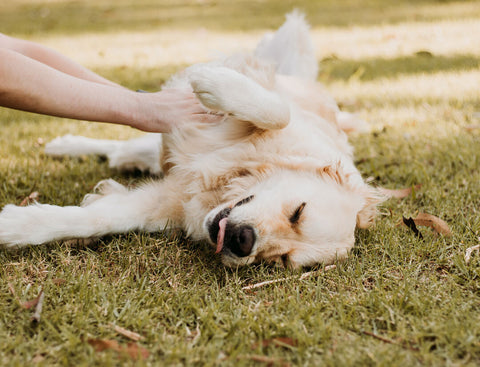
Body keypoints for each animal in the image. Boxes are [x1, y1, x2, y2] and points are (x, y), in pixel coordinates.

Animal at [0, 12, 382, 268]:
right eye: (297, 213)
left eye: (281, 260)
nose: (243, 242)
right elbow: (278, 110)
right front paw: (216, 83)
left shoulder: (168, 201)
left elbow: (99, 219)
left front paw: (17, 226)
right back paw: (65, 145)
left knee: (124, 154)